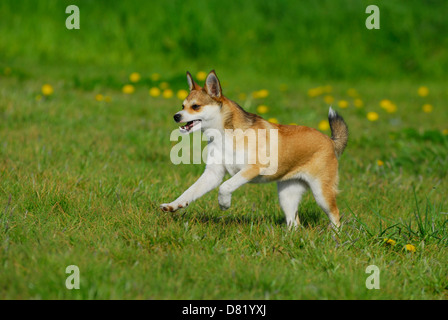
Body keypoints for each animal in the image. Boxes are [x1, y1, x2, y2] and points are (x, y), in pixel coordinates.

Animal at [159, 71, 348, 229]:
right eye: (182, 106)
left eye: (196, 106)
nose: (176, 116)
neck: (224, 134)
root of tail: (331, 141)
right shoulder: (213, 174)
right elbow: (190, 191)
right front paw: (174, 205)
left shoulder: (252, 168)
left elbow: (225, 186)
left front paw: (224, 203)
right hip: (287, 194)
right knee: (294, 222)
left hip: (321, 193)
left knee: (335, 214)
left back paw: (335, 236)